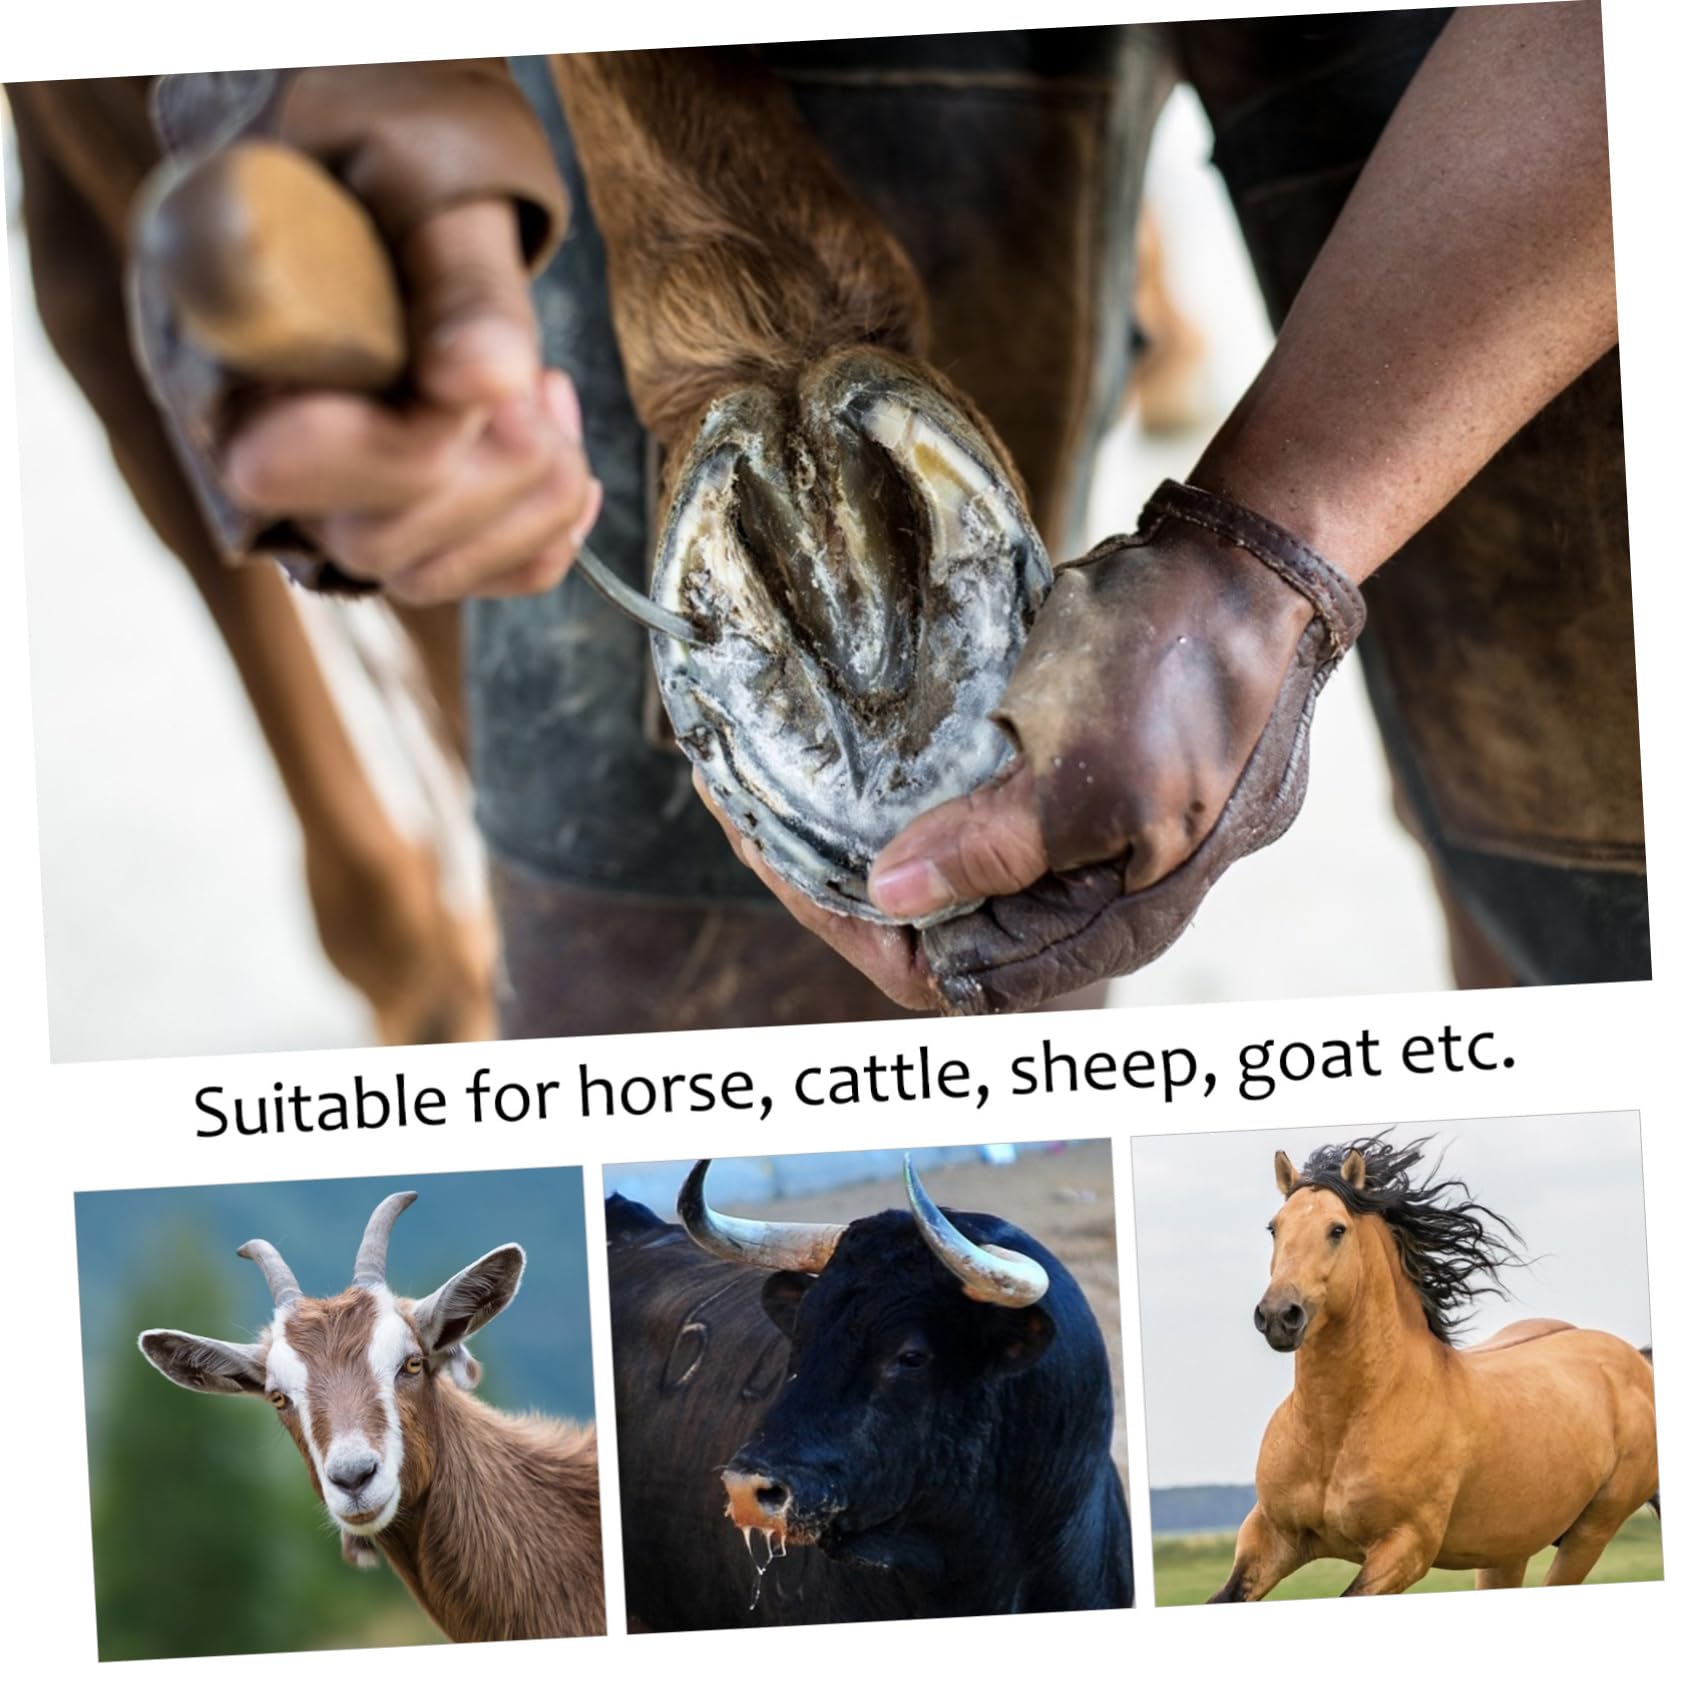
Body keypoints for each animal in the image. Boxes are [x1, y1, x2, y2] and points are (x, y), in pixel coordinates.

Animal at [1211, 1135, 1658, 1599]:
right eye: (1274, 1227)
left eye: (1337, 1229)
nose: (1279, 1315)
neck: (1337, 1429)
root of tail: (1635, 1361)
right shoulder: (1270, 1537)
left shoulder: (1404, 1550)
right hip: (1507, 1548)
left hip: (1592, 1532)